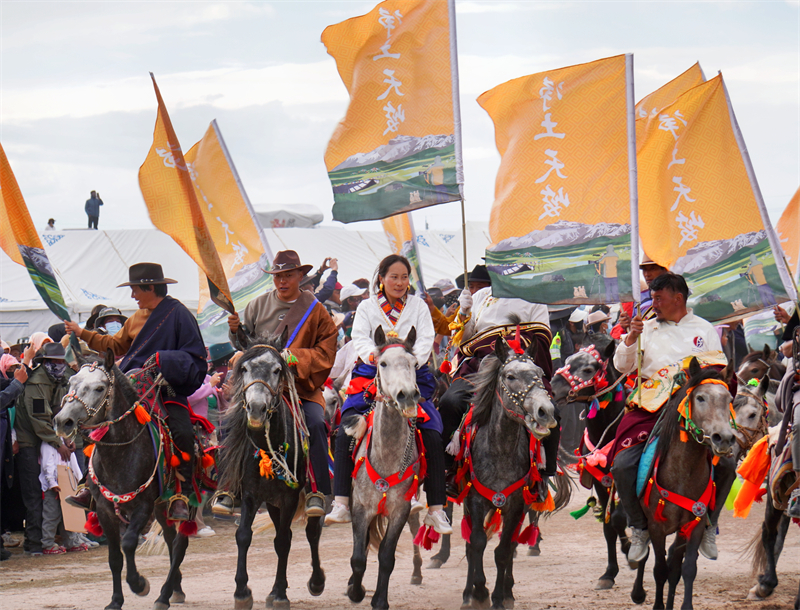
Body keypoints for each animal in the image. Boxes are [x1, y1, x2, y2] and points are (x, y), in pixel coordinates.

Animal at [54, 350, 189, 604]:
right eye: (70, 382)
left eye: (99, 388)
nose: (62, 421)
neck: (120, 454)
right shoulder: (105, 510)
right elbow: (115, 557)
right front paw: (116, 600)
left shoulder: (142, 507)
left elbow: (128, 544)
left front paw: (139, 584)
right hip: (160, 507)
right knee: (170, 539)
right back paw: (174, 589)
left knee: (179, 543)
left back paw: (164, 595)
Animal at [219, 332, 324, 608]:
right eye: (243, 368)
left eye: (277, 370)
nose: (256, 409)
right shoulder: (251, 495)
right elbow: (244, 535)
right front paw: (242, 591)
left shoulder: (289, 497)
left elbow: (285, 540)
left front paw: (279, 594)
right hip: (273, 504)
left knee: (311, 532)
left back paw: (316, 581)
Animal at [456, 334, 556, 604]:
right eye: (510, 376)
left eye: (540, 373)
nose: (546, 412)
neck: (501, 449)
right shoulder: (475, 499)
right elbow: (477, 543)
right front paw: (478, 591)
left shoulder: (516, 503)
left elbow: (503, 551)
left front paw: (499, 597)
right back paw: (468, 591)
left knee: (510, 545)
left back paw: (508, 590)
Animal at [552, 338, 648, 600]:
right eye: (567, 360)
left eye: (587, 369)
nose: (552, 388)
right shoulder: (599, 481)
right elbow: (608, 527)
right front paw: (609, 573)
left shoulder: (625, 478)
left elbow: (618, 517)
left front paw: (630, 549)